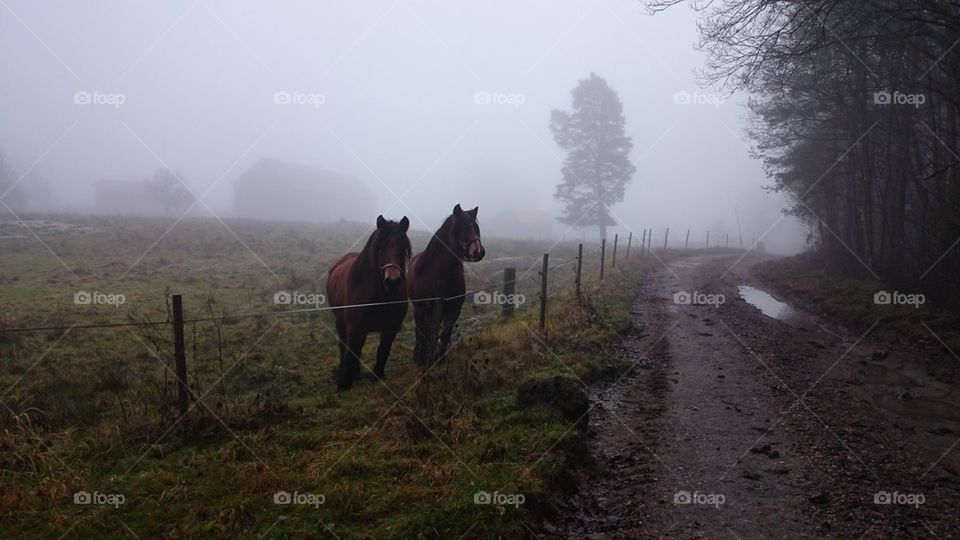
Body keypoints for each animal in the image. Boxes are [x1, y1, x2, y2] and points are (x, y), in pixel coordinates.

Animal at [326, 215, 411, 390]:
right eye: (381, 248)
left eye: (403, 249)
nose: (392, 281)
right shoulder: (353, 327)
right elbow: (350, 351)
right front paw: (344, 383)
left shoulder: (391, 327)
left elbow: (383, 351)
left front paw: (377, 376)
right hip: (341, 322)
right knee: (343, 346)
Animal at [407, 204, 485, 368]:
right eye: (461, 227)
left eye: (476, 228)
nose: (478, 252)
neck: (441, 274)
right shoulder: (425, 309)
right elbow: (427, 333)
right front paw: (425, 358)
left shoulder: (454, 308)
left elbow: (445, 333)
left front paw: (440, 358)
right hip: (418, 309)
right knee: (419, 329)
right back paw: (418, 354)